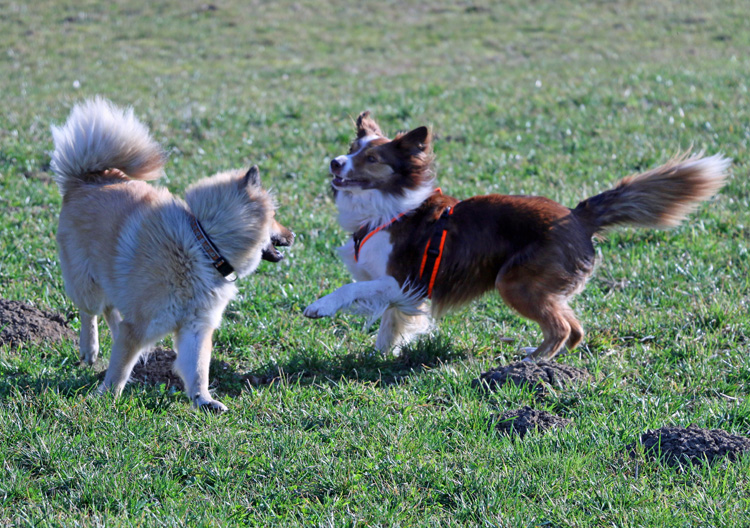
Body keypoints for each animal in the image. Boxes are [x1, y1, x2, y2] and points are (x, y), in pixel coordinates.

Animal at [52, 100, 294, 412]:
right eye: (274, 216)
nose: (293, 235)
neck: (203, 245)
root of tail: (84, 178)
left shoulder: (196, 327)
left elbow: (198, 368)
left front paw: (203, 400)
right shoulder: (141, 324)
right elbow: (119, 368)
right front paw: (105, 398)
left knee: (111, 312)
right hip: (87, 281)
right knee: (90, 311)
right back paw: (89, 348)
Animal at [304, 111, 728, 358]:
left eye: (372, 158)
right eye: (352, 148)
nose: (335, 162)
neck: (386, 208)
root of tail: (576, 216)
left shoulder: (404, 278)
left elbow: (352, 289)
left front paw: (320, 307)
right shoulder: (402, 289)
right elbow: (390, 323)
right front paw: (381, 354)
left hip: (514, 282)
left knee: (561, 327)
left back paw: (531, 362)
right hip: (536, 286)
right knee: (574, 328)